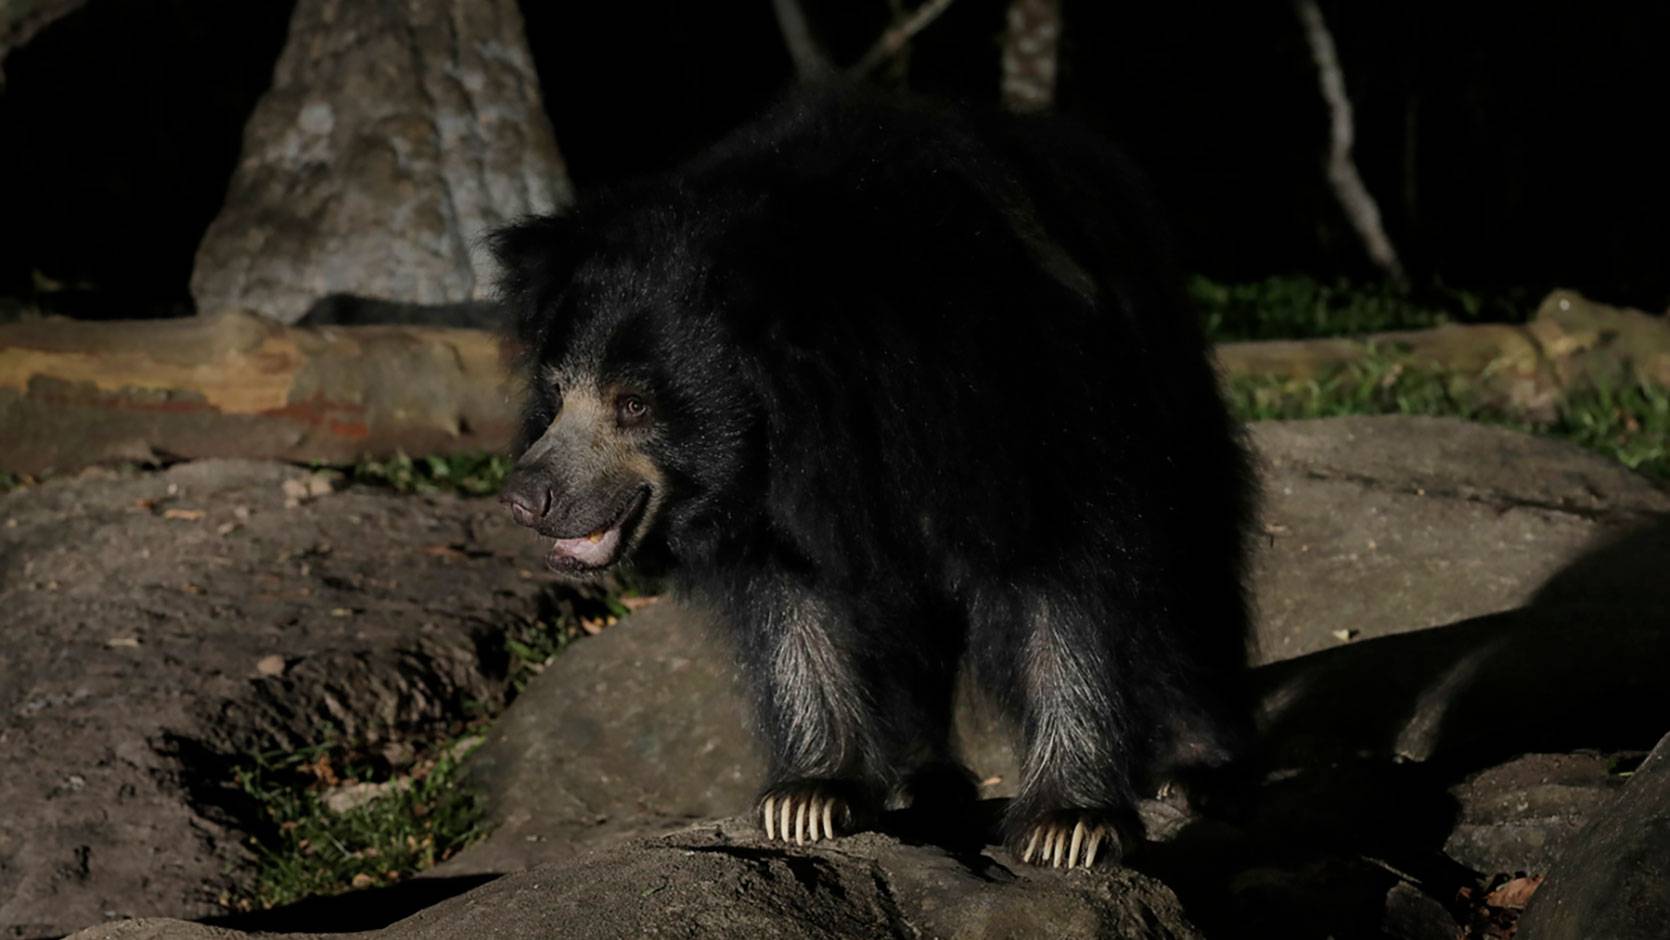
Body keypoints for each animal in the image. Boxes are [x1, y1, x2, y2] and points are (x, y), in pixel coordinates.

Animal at [493, 87, 1256, 869]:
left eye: (634, 404)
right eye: (556, 393)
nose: (526, 497)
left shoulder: (1027, 399)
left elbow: (1068, 576)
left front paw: (1070, 825)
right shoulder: (776, 506)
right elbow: (798, 611)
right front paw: (807, 799)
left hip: (1166, 381)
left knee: (1188, 572)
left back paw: (1198, 769)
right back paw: (926, 781)